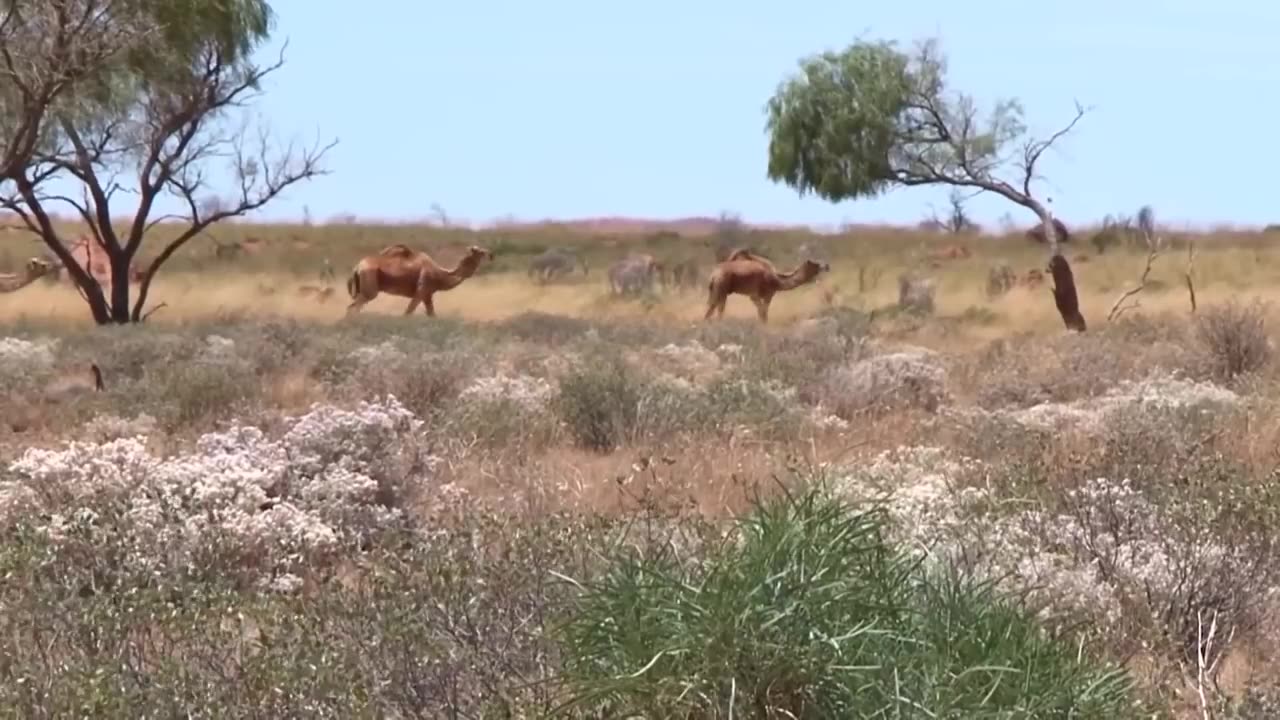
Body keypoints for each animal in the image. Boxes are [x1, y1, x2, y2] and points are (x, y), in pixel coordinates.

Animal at [345, 243, 494, 313]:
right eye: (481, 252)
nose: (491, 254)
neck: (440, 274)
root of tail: (357, 267)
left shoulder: (428, 295)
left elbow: (432, 315)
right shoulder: (421, 291)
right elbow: (407, 313)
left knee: (352, 308)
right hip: (370, 288)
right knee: (353, 308)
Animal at [701, 249, 829, 322]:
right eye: (816, 265)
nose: (827, 266)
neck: (777, 279)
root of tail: (713, 275)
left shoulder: (756, 296)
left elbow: (761, 312)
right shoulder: (763, 294)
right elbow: (763, 312)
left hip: (716, 290)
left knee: (713, 307)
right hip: (721, 287)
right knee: (716, 308)